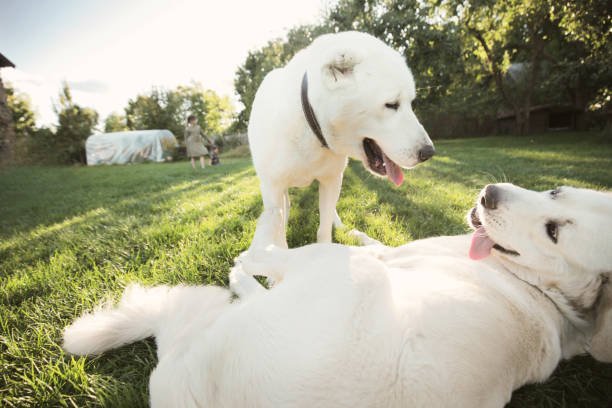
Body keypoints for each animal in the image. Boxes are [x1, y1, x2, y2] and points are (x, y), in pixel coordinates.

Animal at [64, 183, 608, 406]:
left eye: (555, 233)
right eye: (556, 193)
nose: (489, 193)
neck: (540, 290)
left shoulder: (388, 256)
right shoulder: (391, 250)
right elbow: (368, 233)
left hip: (340, 269)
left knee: (257, 261)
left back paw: (256, 246)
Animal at [246, 30, 432, 249]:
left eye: (410, 103)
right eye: (391, 104)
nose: (429, 152)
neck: (311, 125)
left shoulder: (332, 180)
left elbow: (324, 230)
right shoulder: (273, 189)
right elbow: (280, 238)